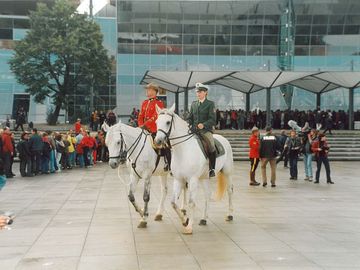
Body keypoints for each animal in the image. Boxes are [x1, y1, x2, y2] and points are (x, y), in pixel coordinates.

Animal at [154, 104, 233, 235]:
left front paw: (189, 226)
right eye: (156, 122)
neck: (183, 150)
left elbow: (191, 203)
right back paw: (204, 219)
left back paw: (230, 215)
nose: (158, 141)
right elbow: (173, 203)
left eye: (168, 122)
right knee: (207, 194)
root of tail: (223, 138)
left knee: (230, 191)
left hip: (227, 172)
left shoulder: (192, 179)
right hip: (204, 177)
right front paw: (184, 221)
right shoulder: (178, 179)